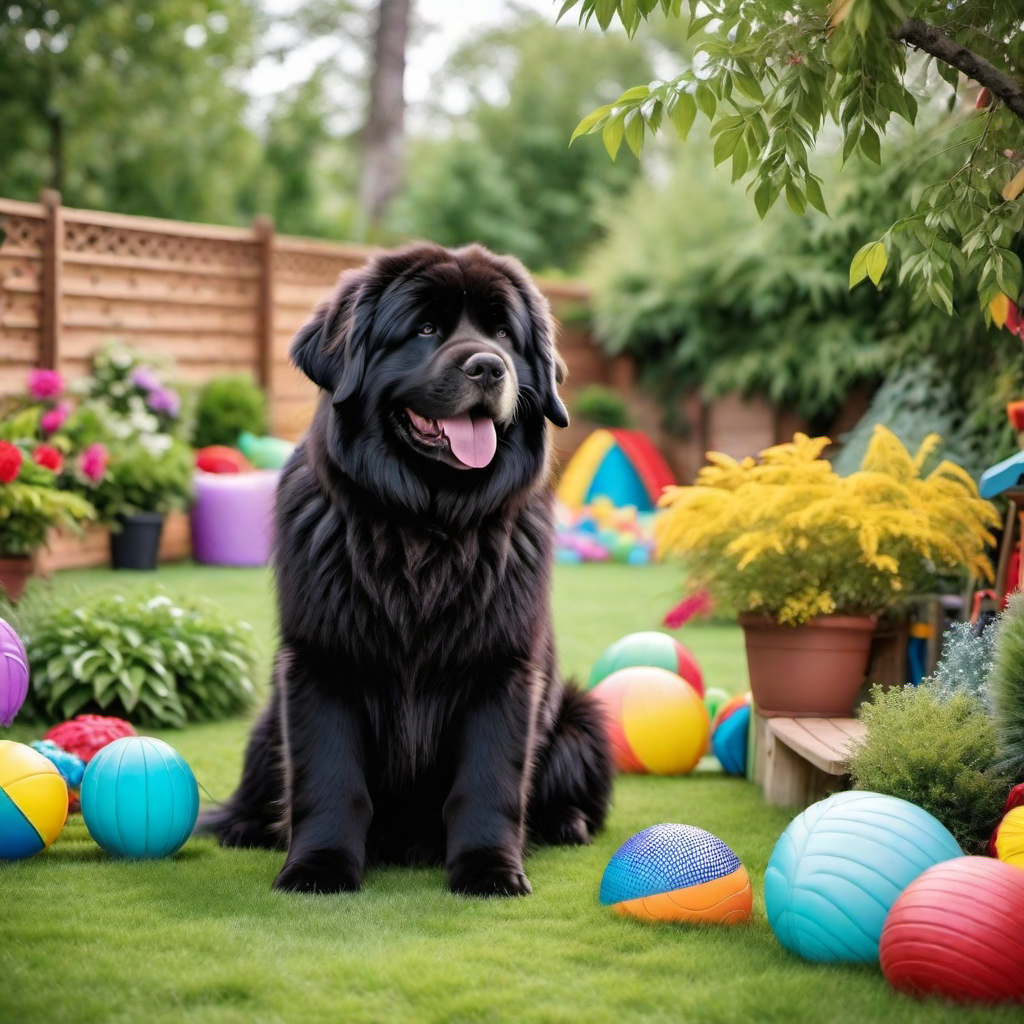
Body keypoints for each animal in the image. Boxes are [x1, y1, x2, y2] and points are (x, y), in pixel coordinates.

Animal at [201, 243, 614, 892]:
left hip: (582, 719)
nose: (489, 368)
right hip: (269, 719)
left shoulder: (501, 668)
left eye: (503, 334)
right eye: (424, 329)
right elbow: (329, 779)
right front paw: (317, 868)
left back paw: (564, 823)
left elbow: (488, 781)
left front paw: (489, 870)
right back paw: (247, 826)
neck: (425, 530)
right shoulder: (321, 661)